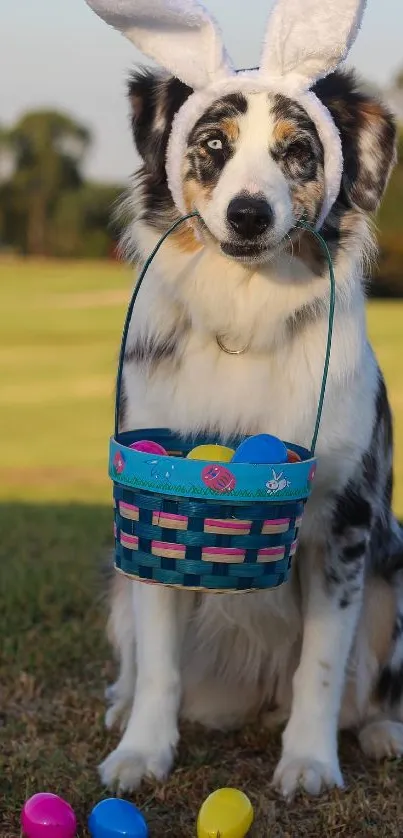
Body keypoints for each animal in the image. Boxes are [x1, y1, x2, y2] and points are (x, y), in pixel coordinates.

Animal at [100, 67, 400, 800]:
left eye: (298, 152)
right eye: (213, 144)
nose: (248, 214)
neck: (246, 310)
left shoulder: (347, 523)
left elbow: (323, 663)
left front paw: (310, 762)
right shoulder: (156, 516)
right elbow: (159, 660)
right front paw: (141, 751)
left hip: (395, 572)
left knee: (375, 686)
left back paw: (381, 732)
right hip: (116, 586)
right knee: (134, 658)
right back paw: (121, 704)